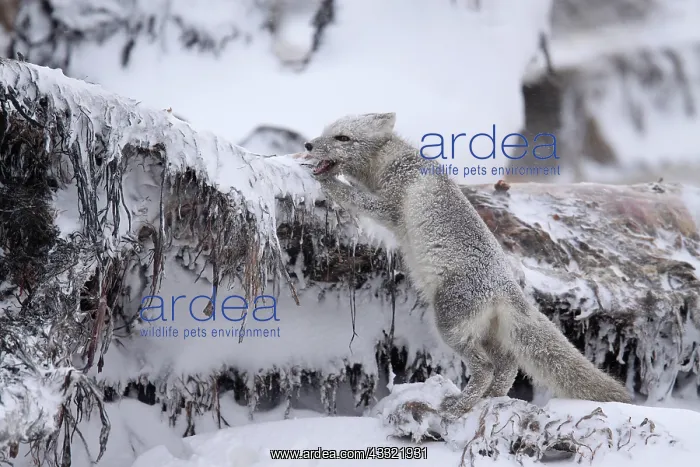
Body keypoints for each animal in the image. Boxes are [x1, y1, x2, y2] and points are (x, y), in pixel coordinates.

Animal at [296, 112, 631, 420]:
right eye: (327, 132)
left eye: (343, 138)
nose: (308, 145)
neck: (394, 161)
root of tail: (505, 286)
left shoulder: (389, 205)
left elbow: (355, 197)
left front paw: (327, 181)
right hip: (485, 334)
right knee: (508, 365)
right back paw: (488, 401)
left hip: (449, 325)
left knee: (485, 368)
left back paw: (458, 407)